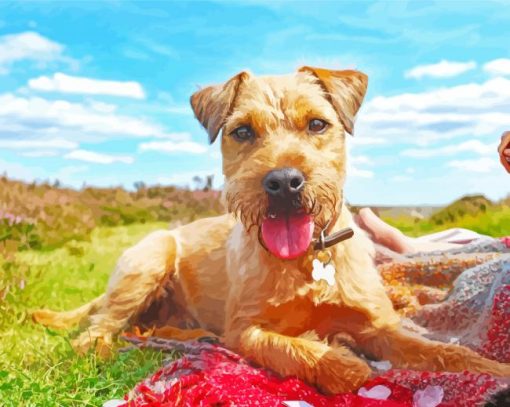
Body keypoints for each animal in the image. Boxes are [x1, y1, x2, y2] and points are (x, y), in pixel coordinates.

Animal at [32, 67, 510, 396]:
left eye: (317, 124)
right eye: (242, 131)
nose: (283, 182)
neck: (307, 258)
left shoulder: (378, 326)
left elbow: (443, 352)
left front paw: (493, 371)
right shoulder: (246, 330)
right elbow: (291, 347)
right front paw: (343, 363)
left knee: (145, 328)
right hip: (151, 259)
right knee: (97, 331)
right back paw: (108, 350)